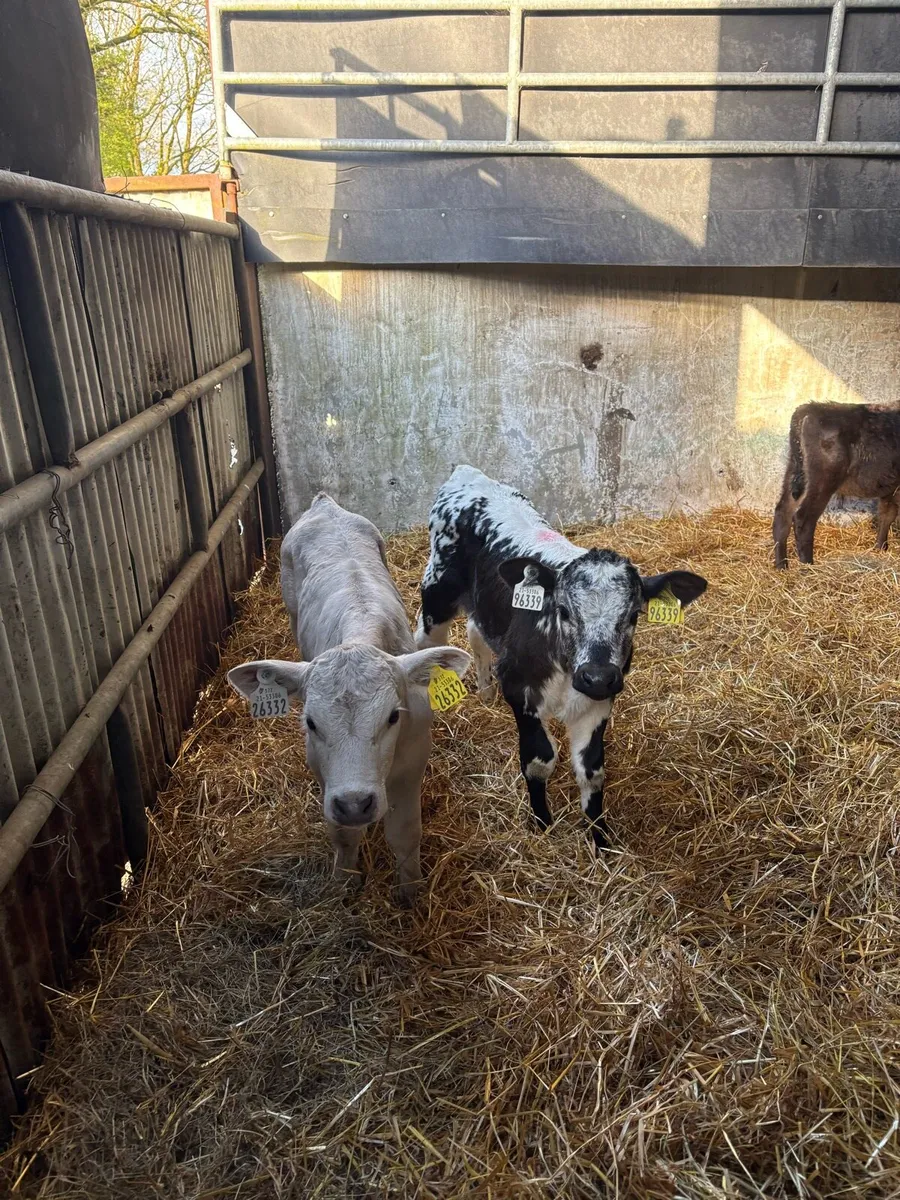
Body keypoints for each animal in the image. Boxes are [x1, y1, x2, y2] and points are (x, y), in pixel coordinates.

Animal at [228, 493, 470, 903]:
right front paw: (344, 883)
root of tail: (325, 504)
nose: (356, 803)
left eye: (393, 717)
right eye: (310, 722)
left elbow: (405, 833)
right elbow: (342, 834)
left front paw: (411, 893)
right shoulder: (322, 769)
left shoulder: (413, 761)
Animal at [415, 466, 707, 851]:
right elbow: (539, 760)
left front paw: (600, 837)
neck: (565, 669)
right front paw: (541, 823)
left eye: (633, 615)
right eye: (564, 610)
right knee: (424, 641)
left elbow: (592, 770)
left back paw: (485, 691)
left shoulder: (600, 701)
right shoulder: (520, 688)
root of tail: (468, 474)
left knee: (476, 632)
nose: (596, 676)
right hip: (436, 591)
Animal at [773, 403, 900, 569]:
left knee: (782, 513)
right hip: (823, 481)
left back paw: (782, 566)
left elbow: (887, 514)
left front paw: (880, 548)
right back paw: (809, 566)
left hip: (794, 473)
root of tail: (808, 409)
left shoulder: (890, 487)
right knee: (803, 519)